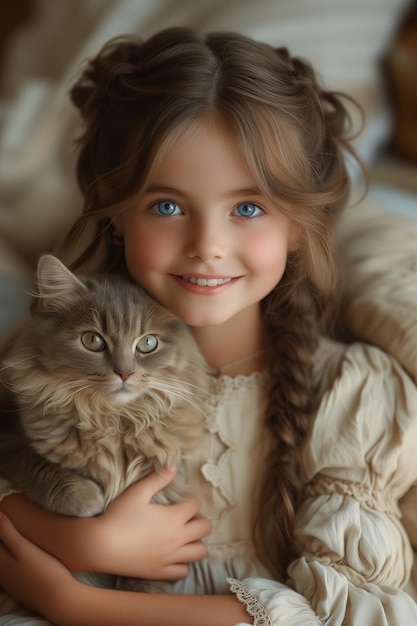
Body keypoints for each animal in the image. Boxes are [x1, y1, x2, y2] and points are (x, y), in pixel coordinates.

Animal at [0, 254, 208, 516]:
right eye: (92, 340)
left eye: (148, 343)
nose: (125, 373)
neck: (112, 421)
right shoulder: (8, 439)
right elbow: (36, 465)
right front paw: (85, 498)